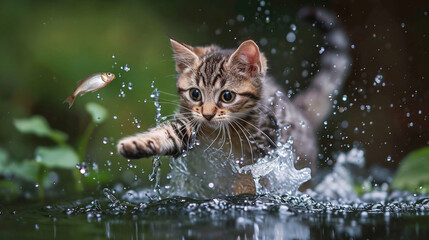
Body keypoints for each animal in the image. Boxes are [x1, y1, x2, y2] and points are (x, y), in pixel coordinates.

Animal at [118, 7, 350, 195]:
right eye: (195, 94)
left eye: (227, 96)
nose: (207, 114)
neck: (221, 132)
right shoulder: (189, 124)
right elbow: (169, 134)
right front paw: (138, 144)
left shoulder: (266, 144)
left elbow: (250, 174)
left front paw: (242, 190)